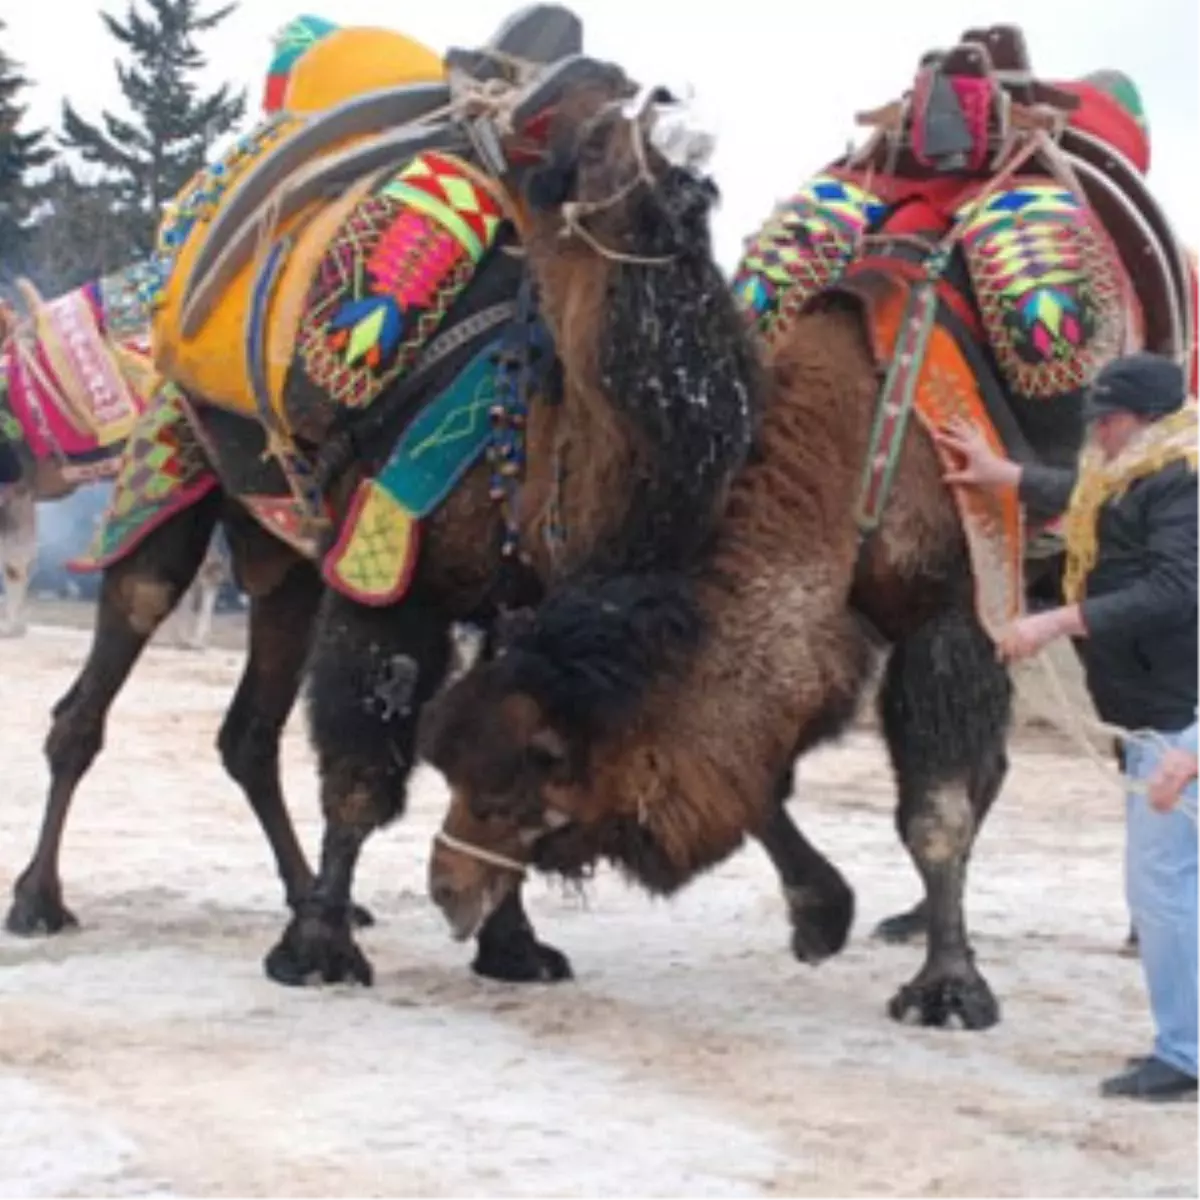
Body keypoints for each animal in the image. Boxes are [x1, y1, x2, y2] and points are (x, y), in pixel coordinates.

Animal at [7, 7, 758, 993]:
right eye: (574, 136)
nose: (672, 139)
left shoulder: (520, 606)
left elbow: (503, 753)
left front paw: (512, 946)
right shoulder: (394, 571)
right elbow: (364, 766)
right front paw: (319, 952)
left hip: (285, 564)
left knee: (249, 734)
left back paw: (295, 891)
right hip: (166, 482)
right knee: (92, 698)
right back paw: (39, 900)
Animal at [417, 23, 1195, 1027]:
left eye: (530, 767)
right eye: (448, 762)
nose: (447, 888)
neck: (863, 446)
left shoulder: (951, 605)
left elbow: (935, 808)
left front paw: (950, 990)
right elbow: (770, 770)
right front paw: (824, 917)